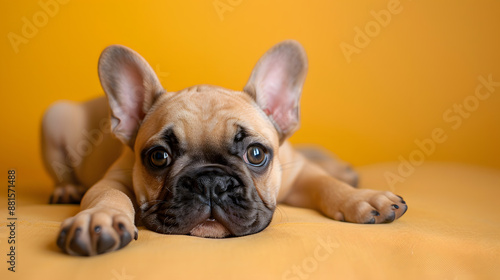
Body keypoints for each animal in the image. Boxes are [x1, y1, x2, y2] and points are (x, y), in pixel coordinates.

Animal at [42, 41, 406, 256]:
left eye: (256, 154)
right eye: (159, 157)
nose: (210, 182)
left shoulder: (299, 171)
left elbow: (326, 184)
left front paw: (361, 198)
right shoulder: (114, 178)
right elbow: (108, 194)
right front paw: (99, 219)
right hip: (54, 118)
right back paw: (67, 189)